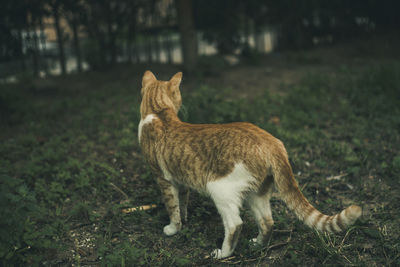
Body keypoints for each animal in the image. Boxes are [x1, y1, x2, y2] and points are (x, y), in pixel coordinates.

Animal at [138, 70, 362, 260]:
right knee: (267, 222)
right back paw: (258, 245)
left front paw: (173, 229)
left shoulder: (163, 179)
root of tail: (272, 143)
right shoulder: (180, 179)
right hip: (257, 193)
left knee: (235, 224)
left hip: (218, 188)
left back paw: (223, 254)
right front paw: (185, 221)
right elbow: (182, 203)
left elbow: (172, 207)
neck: (157, 112)